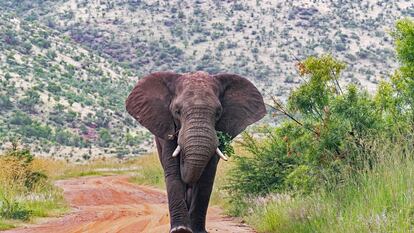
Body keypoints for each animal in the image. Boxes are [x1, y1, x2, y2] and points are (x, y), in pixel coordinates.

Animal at [124, 71, 266, 233]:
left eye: (218, 113)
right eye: (177, 111)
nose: (183, 158)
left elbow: (206, 176)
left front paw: (196, 231)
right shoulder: (166, 127)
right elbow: (173, 172)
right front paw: (180, 230)